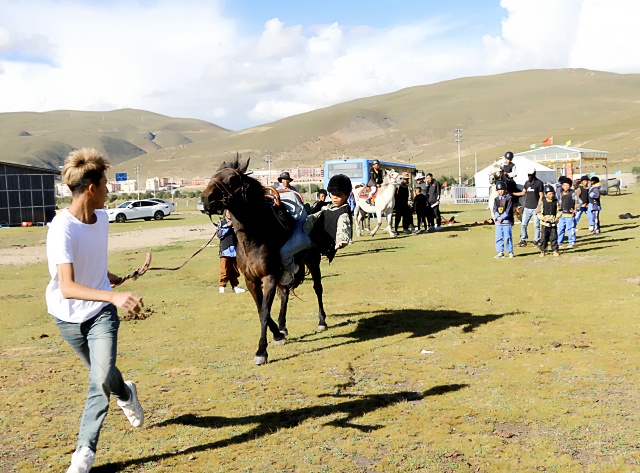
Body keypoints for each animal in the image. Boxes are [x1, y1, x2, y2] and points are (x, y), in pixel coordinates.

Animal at [200, 157, 328, 364]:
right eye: (214, 175)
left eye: (232, 180)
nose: (205, 199)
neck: (255, 237)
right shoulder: (251, 280)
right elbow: (262, 309)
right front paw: (278, 335)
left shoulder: (269, 277)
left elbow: (264, 312)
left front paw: (261, 351)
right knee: (284, 294)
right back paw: (283, 326)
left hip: (312, 262)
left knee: (318, 288)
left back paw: (322, 321)